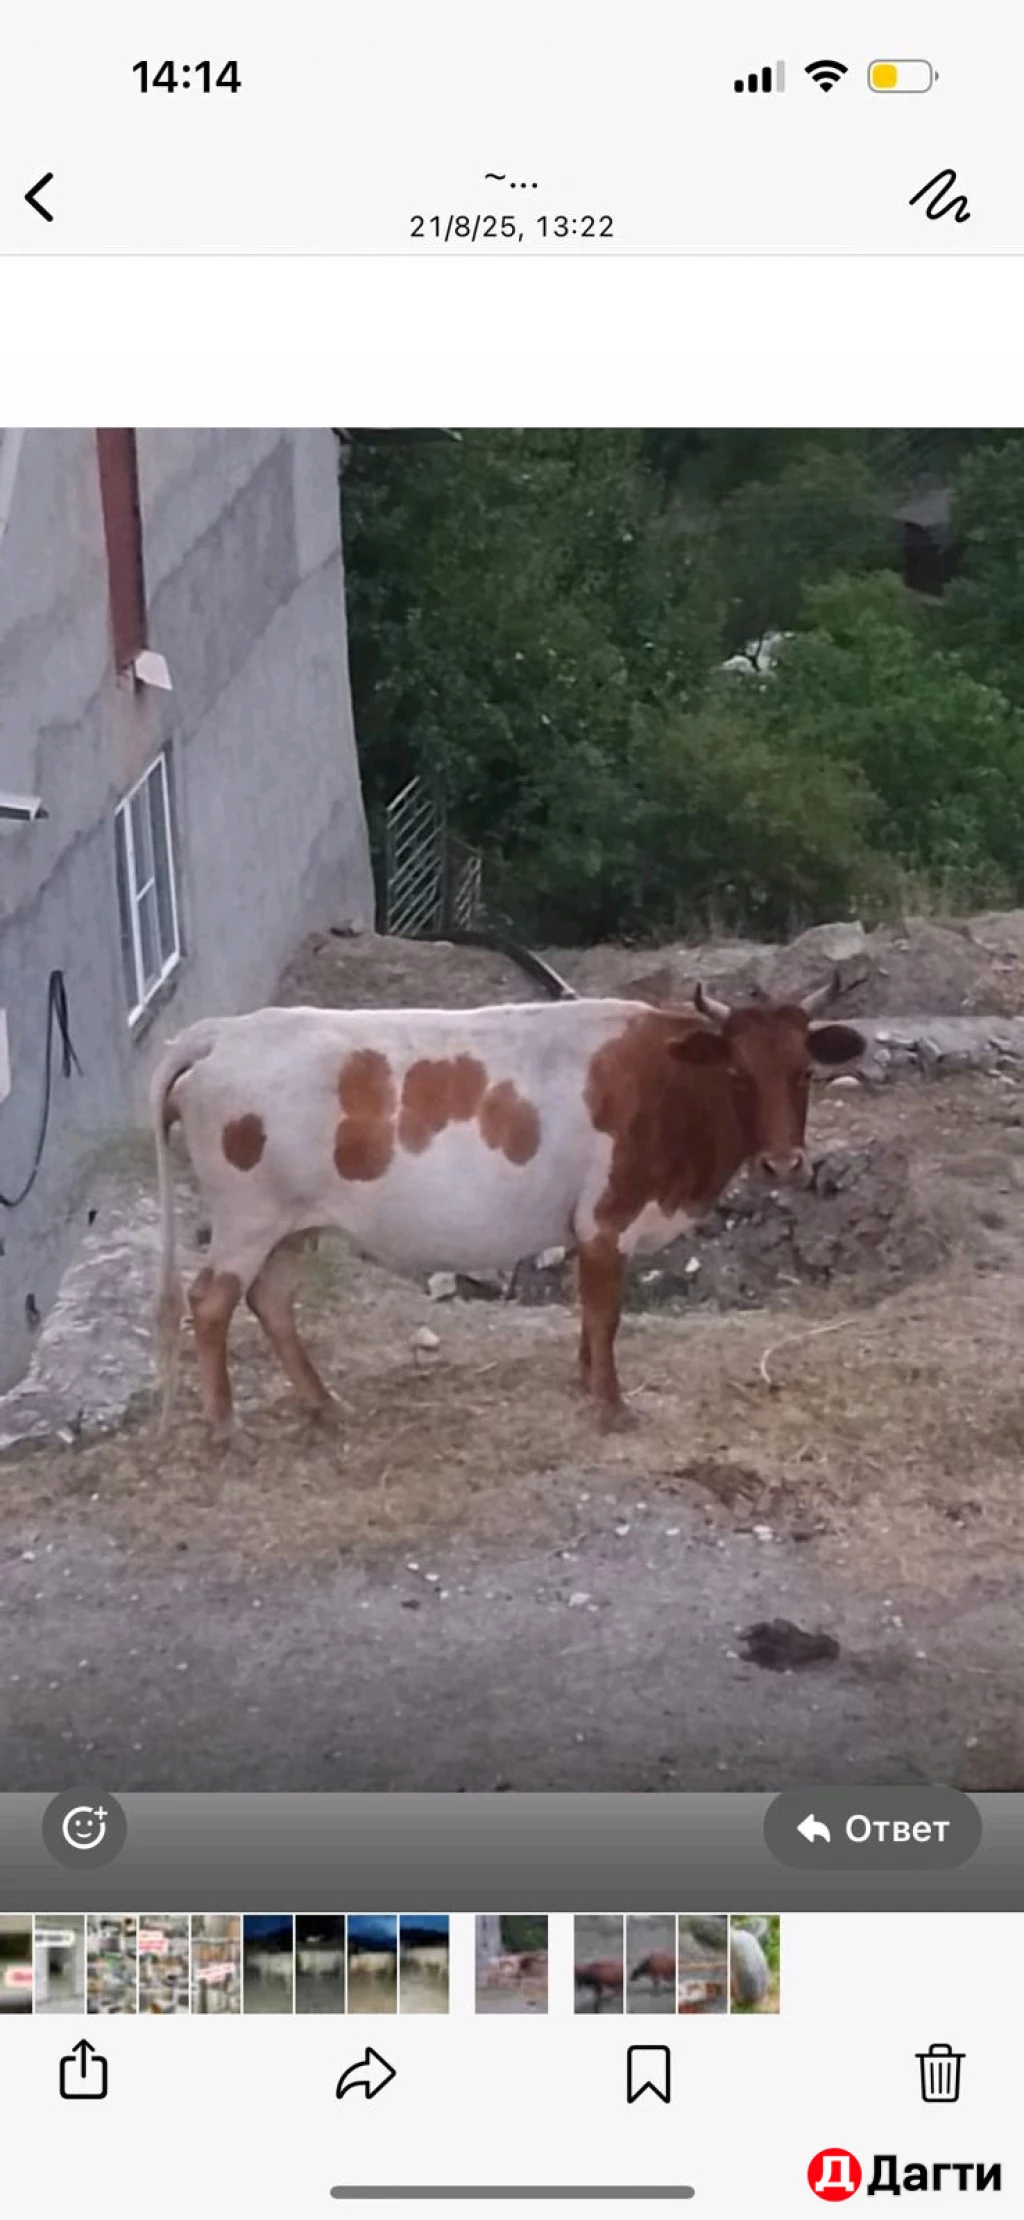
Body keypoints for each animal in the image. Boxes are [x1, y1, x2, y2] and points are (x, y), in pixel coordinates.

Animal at [150, 978, 865, 1439]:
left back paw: (325, 1406)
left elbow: (587, 1316)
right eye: (738, 1073)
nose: (782, 1164)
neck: (667, 1081)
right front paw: (611, 1408)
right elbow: (605, 1314)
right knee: (211, 1301)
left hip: (294, 1225)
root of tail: (225, 1031)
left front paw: (586, 1382)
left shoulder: (584, 1229)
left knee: (270, 1301)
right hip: (248, 1218)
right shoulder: (607, 1220)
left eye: (804, 1072)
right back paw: (224, 1426)